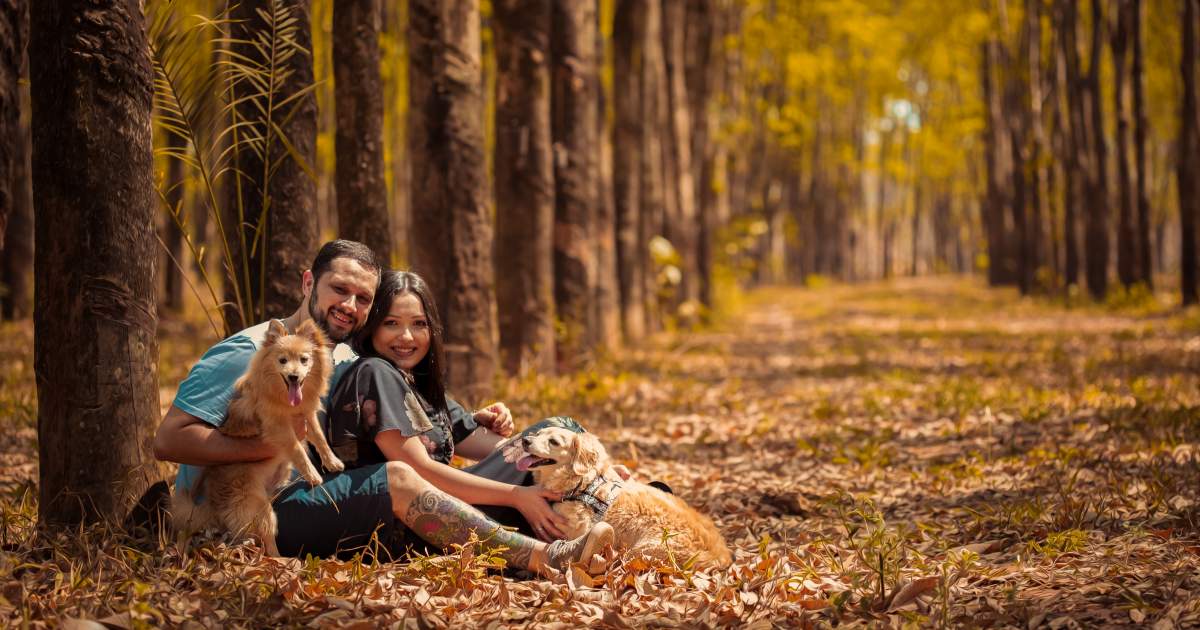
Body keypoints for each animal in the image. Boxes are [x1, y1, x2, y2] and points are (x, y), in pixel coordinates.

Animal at [172, 321, 343, 552]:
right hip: (260, 509)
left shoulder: (307, 414)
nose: (293, 376)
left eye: (304, 360)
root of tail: (211, 505)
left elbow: (319, 438)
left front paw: (332, 461)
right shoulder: (278, 426)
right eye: (282, 360)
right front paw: (313, 474)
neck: (286, 399)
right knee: (268, 543)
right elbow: (297, 449)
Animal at [499, 427, 729, 568]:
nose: (525, 440)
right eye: (538, 433)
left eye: (553, 441)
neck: (583, 485)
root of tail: (721, 557)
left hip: (642, 550)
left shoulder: (574, 529)